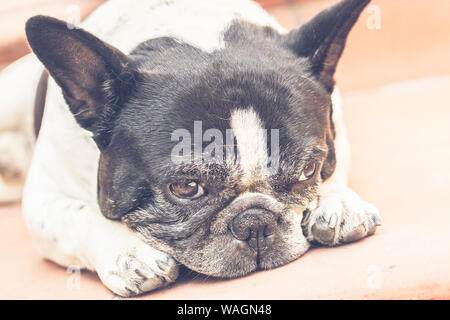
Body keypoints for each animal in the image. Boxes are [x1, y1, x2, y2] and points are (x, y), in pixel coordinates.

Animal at [0, 0, 380, 298]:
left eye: (307, 170)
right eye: (186, 187)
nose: (255, 223)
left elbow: (336, 166)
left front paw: (339, 202)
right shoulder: (45, 198)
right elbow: (81, 218)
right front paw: (130, 253)